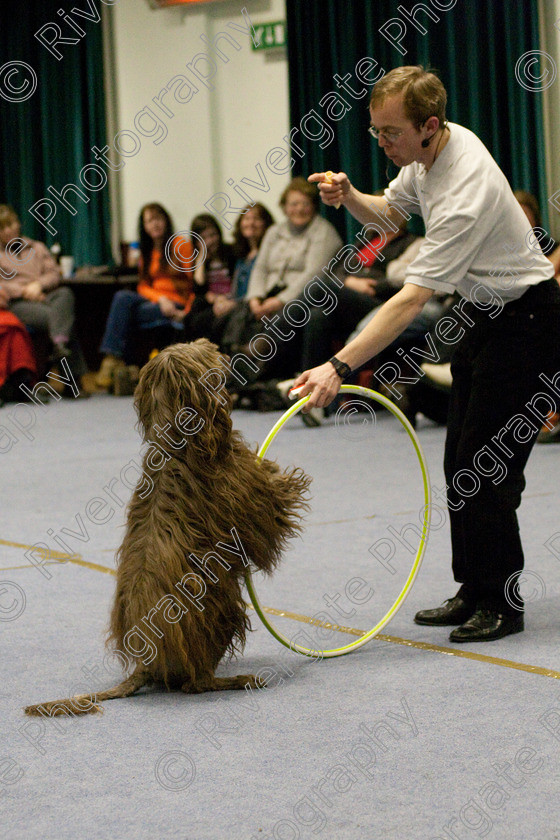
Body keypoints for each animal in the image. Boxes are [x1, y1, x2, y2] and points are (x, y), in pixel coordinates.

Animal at [25, 338, 310, 720]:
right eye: (201, 355)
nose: (215, 346)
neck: (177, 440)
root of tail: (145, 662)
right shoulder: (249, 506)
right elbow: (272, 514)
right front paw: (288, 479)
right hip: (221, 605)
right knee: (196, 684)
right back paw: (239, 679)